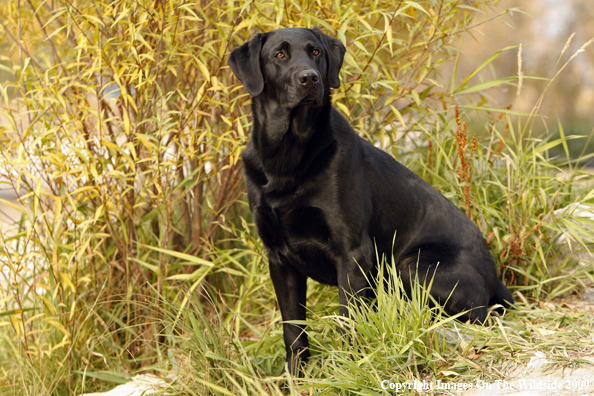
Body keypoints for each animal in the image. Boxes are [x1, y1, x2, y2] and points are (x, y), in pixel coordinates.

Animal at [227, 25, 508, 374]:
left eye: (315, 52)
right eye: (279, 54)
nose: (310, 78)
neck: (289, 153)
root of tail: (495, 277)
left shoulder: (352, 254)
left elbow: (349, 321)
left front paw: (349, 370)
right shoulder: (279, 259)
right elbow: (293, 331)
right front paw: (295, 378)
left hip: (412, 266)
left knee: (469, 316)